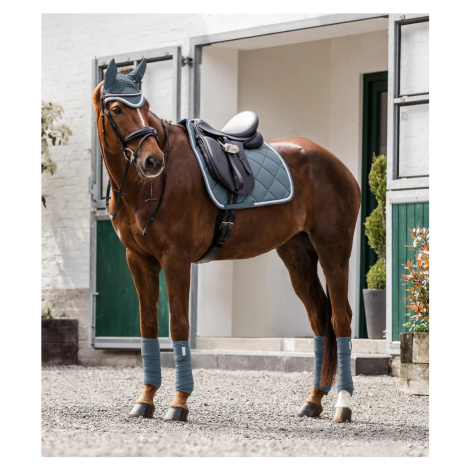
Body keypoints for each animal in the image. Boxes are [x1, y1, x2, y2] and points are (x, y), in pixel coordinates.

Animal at [92, 58, 361, 424]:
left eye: (145, 109)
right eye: (117, 109)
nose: (152, 161)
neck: (149, 186)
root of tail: (336, 163)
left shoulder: (176, 259)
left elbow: (178, 326)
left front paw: (179, 404)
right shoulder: (138, 259)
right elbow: (148, 326)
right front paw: (145, 401)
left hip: (334, 250)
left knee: (340, 318)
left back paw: (342, 405)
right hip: (297, 256)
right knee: (319, 319)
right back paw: (313, 401)